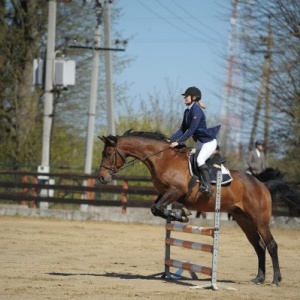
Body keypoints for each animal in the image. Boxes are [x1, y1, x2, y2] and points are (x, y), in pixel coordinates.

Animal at [97, 129, 300, 286]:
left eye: (107, 154)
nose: (102, 178)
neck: (162, 157)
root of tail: (262, 185)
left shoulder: (176, 191)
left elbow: (157, 208)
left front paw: (180, 214)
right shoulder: (166, 192)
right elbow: (155, 208)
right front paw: (180, 214)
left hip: (259, 220)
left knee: (271, 244)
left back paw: (275, 280)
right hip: (244, 220)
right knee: (258, 246)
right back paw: (258, 278)